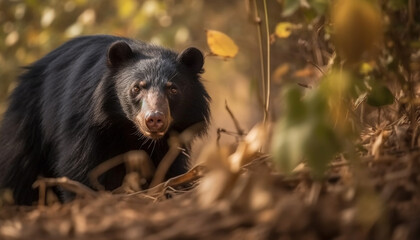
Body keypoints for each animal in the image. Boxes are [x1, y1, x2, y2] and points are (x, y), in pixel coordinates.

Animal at [0, 35, 210, 204]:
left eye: (173, 89)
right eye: (136, 88)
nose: (154, 119)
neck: (127, 128)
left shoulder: (174, 137)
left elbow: (171, 169)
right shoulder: (84, 124)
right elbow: (78, 168)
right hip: (28, 121)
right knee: (19, 167)